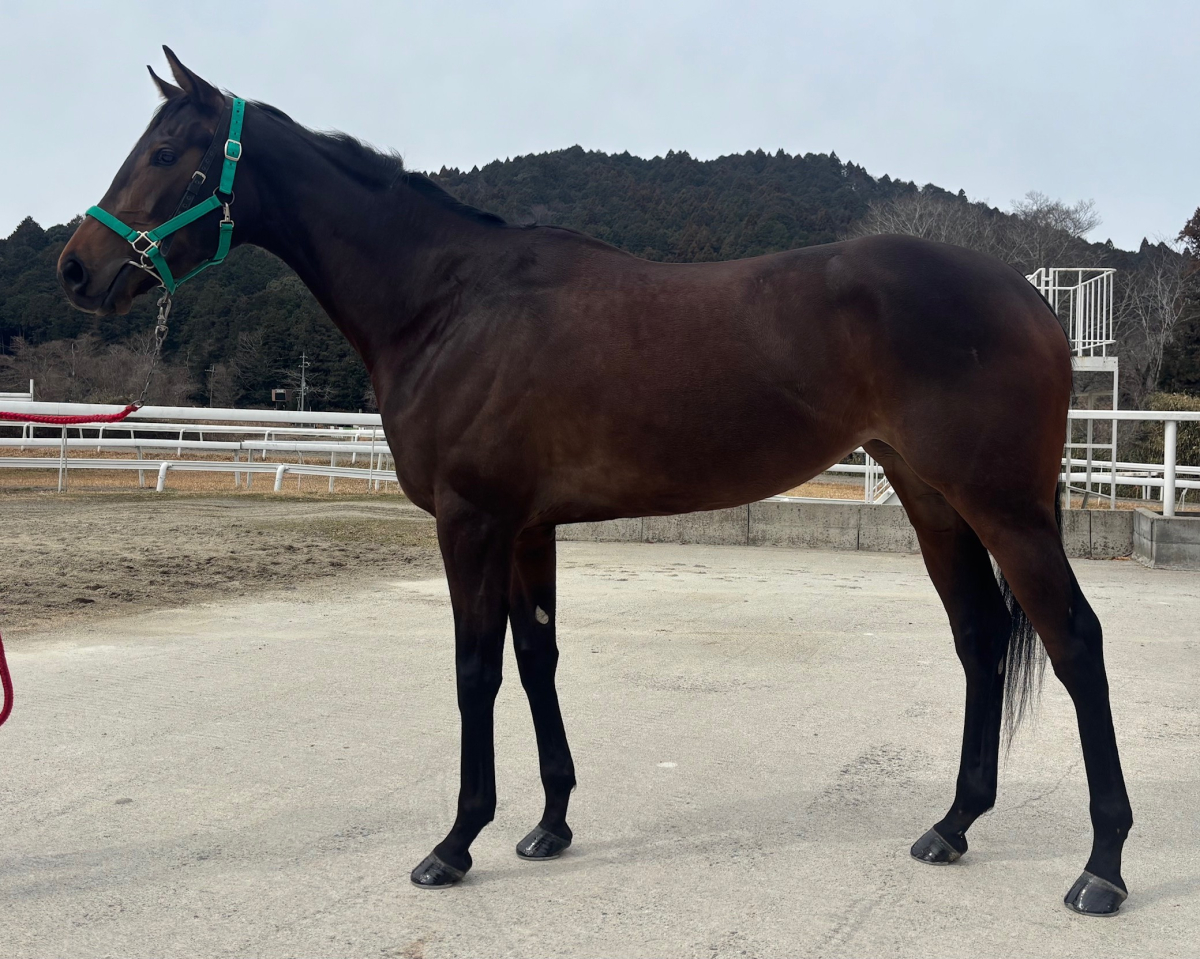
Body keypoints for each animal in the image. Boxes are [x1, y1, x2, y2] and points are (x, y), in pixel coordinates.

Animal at [58, 48, 1132, 915]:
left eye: (167, 152)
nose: (76, 267)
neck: (447, 302)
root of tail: (1032, 299)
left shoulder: (472, 522)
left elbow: (475, 671)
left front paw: (456, 842)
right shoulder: (529, 528)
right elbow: (538, 661)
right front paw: (549, 824)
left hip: (1004, 508)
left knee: (1075, 641)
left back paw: (1103, 866)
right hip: (930, 498)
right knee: (981, 637)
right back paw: (953, 824)